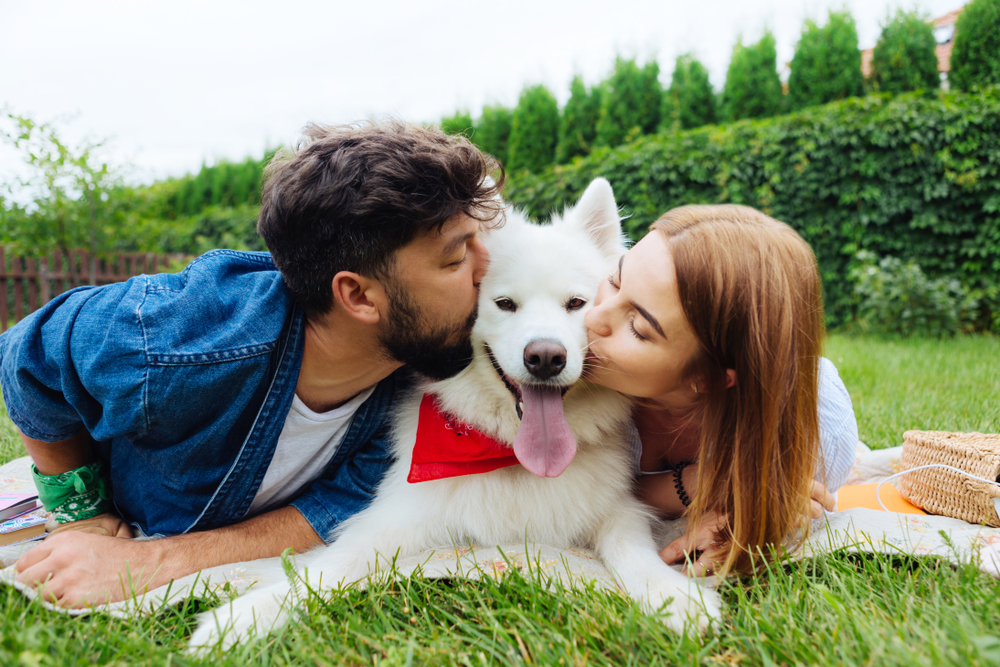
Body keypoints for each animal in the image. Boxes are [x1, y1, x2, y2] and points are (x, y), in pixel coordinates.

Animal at [189, 179, 720, 652]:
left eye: (576, 304)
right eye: (504, 303)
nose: (545, 358)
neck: (508, 453)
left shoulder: (617, 511)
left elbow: (633, 551)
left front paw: (676, 598)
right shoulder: (392, 520)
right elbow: (331, 566)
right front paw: (244, 618)